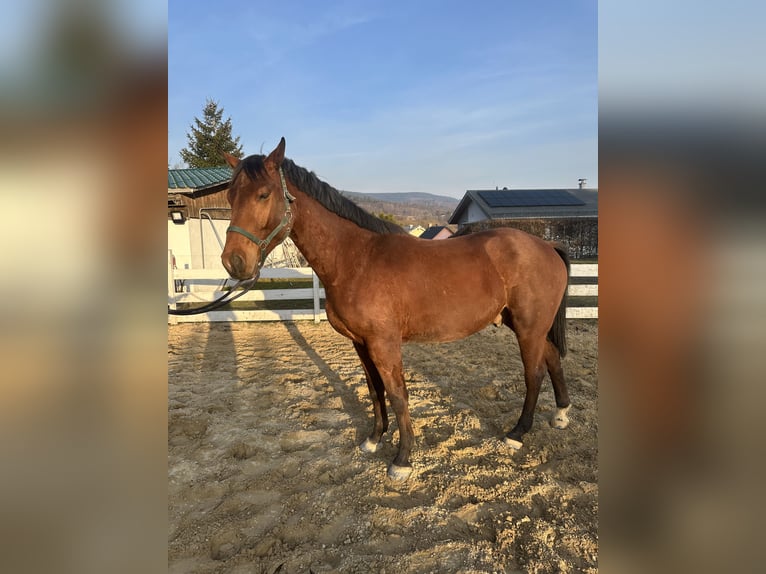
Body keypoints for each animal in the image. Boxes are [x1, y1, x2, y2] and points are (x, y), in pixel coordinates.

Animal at [220, 140, 568, 482]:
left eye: (264, 194)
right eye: (230, 196)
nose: (234, 262)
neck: (356, 259)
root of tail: (547, 246)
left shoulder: (384, 343)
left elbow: (398, 394)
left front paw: (402, 459)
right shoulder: (360, 343)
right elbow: (375, 390)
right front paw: (374, 439)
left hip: (528, 327)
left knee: (534, 372)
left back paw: (517, 433)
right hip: (526, 325)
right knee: (552, 358)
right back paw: (561, 415)